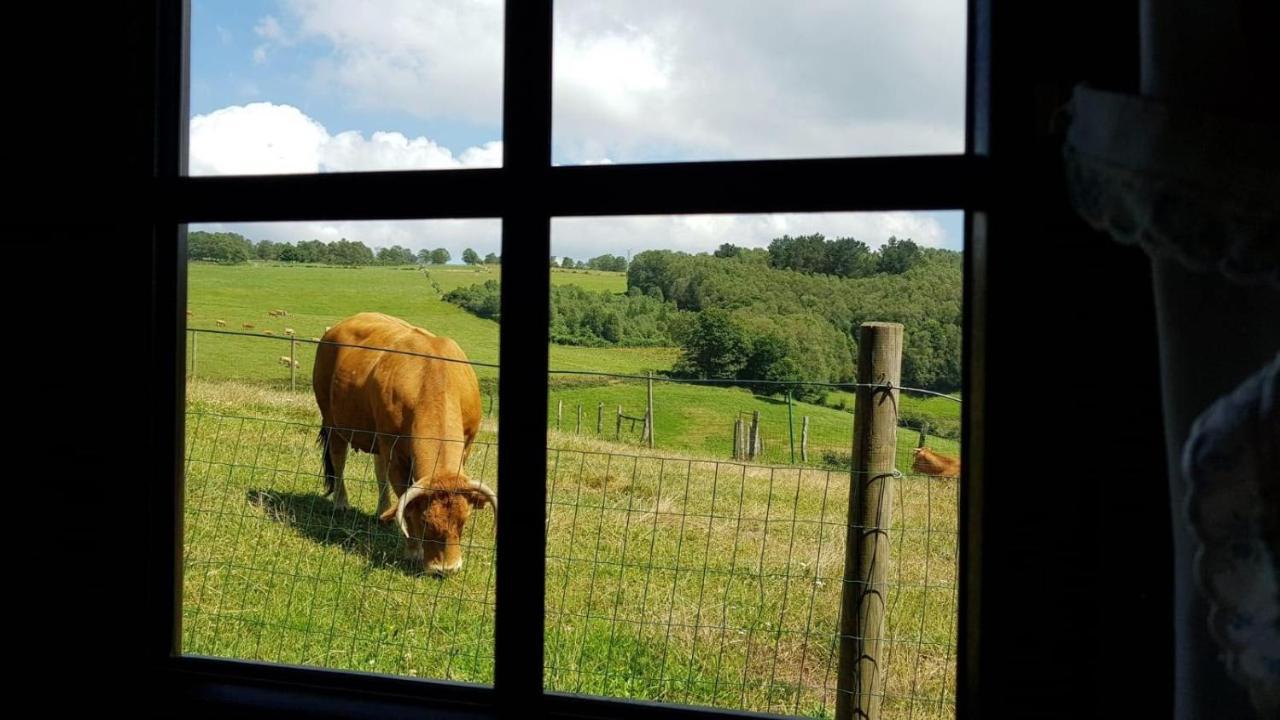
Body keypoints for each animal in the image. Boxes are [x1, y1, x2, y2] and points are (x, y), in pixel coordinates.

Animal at [311, 311, 494, 573]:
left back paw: (381, 511)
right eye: (426, 522)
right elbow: (404, 502)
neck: (434, 379)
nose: (446, 569)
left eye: (463, 521)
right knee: (338, 459)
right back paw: (341, 503)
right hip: (333, 420)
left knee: (378, 470)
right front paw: (413, 551)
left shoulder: (466, 447)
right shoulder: (395, 453)